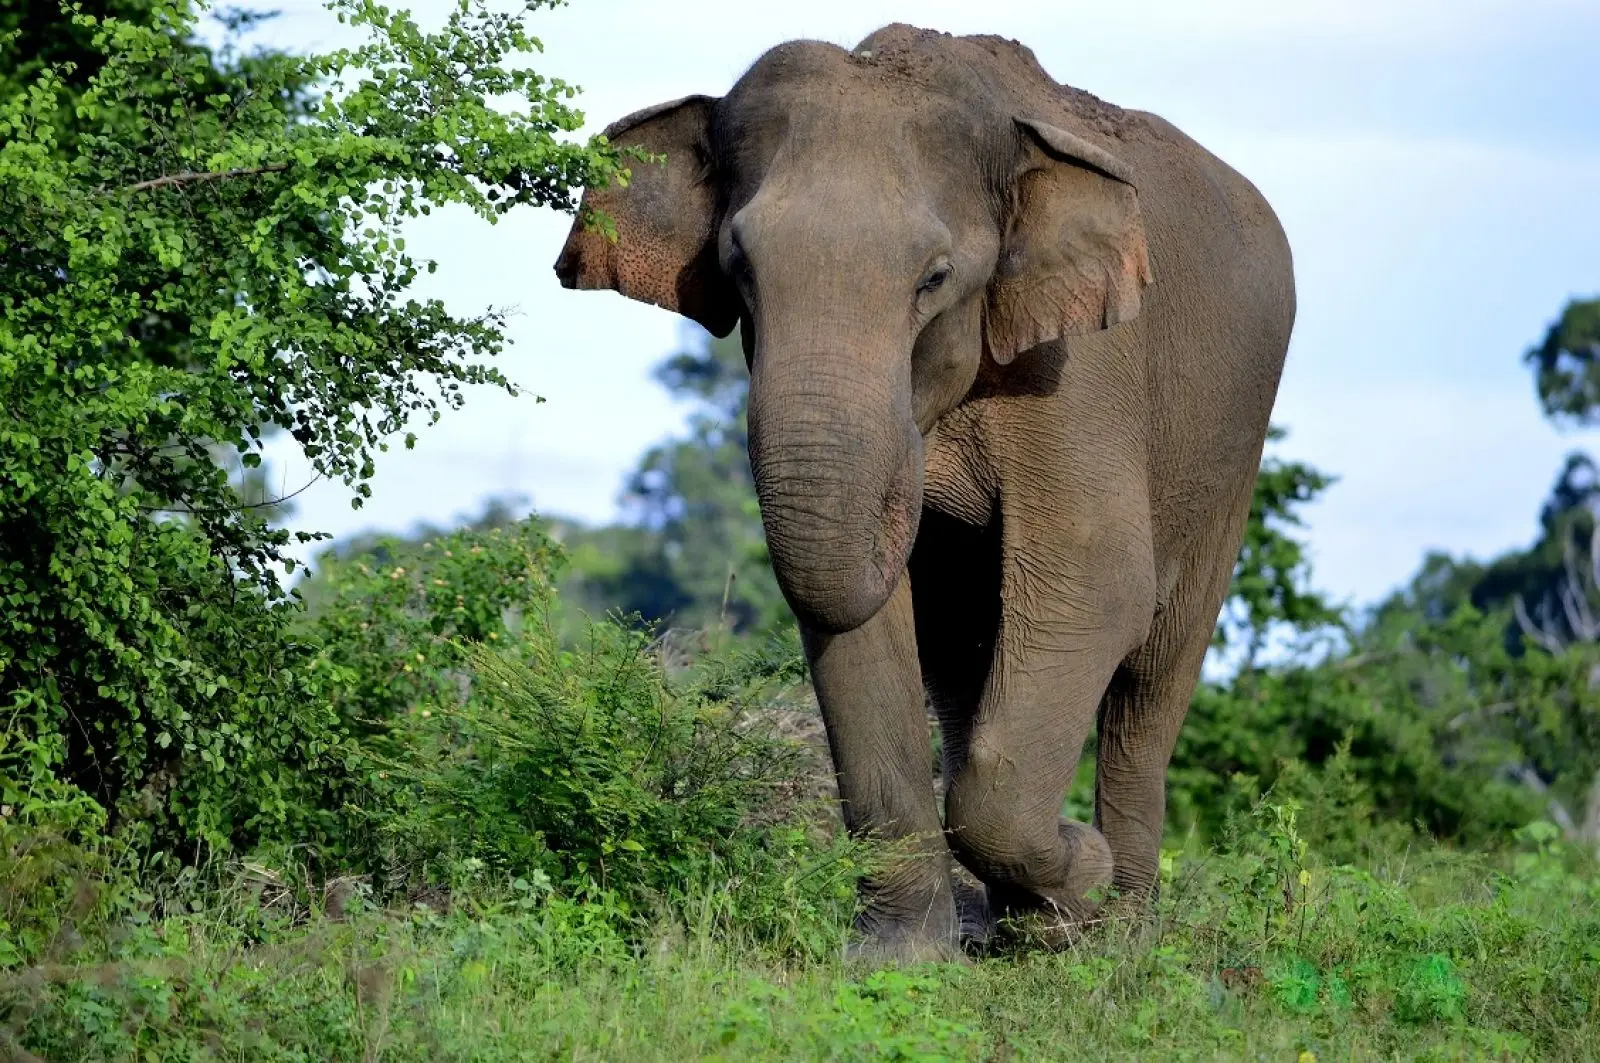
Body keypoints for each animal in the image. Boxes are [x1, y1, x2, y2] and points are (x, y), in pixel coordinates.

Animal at [553, 23, 1294, 959]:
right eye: (738, 266)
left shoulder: (1081, 376)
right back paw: (1021, 925)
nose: (917, 489)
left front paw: (1077, 881)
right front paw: (899, 955)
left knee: (1151, 678)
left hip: (1231, 453)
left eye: (934, 279)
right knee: (965, 654)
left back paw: (1115, 932)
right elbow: (860, 618)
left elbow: (1093, 588)